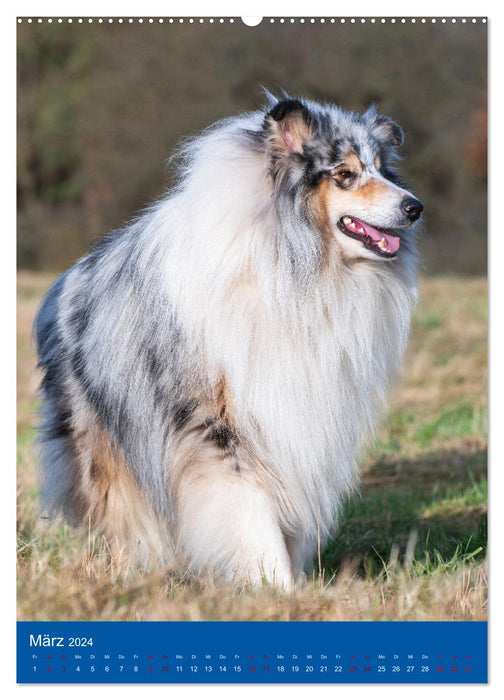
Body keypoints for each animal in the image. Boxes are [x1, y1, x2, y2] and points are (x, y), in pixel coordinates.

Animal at [34, 93, 422, 584]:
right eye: (345, 175)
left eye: (383, 169)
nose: (415, 207)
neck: (292, 271)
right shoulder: (218, 424)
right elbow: (248, 510)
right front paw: (276, 584)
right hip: (106, 436)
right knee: (121, 508)